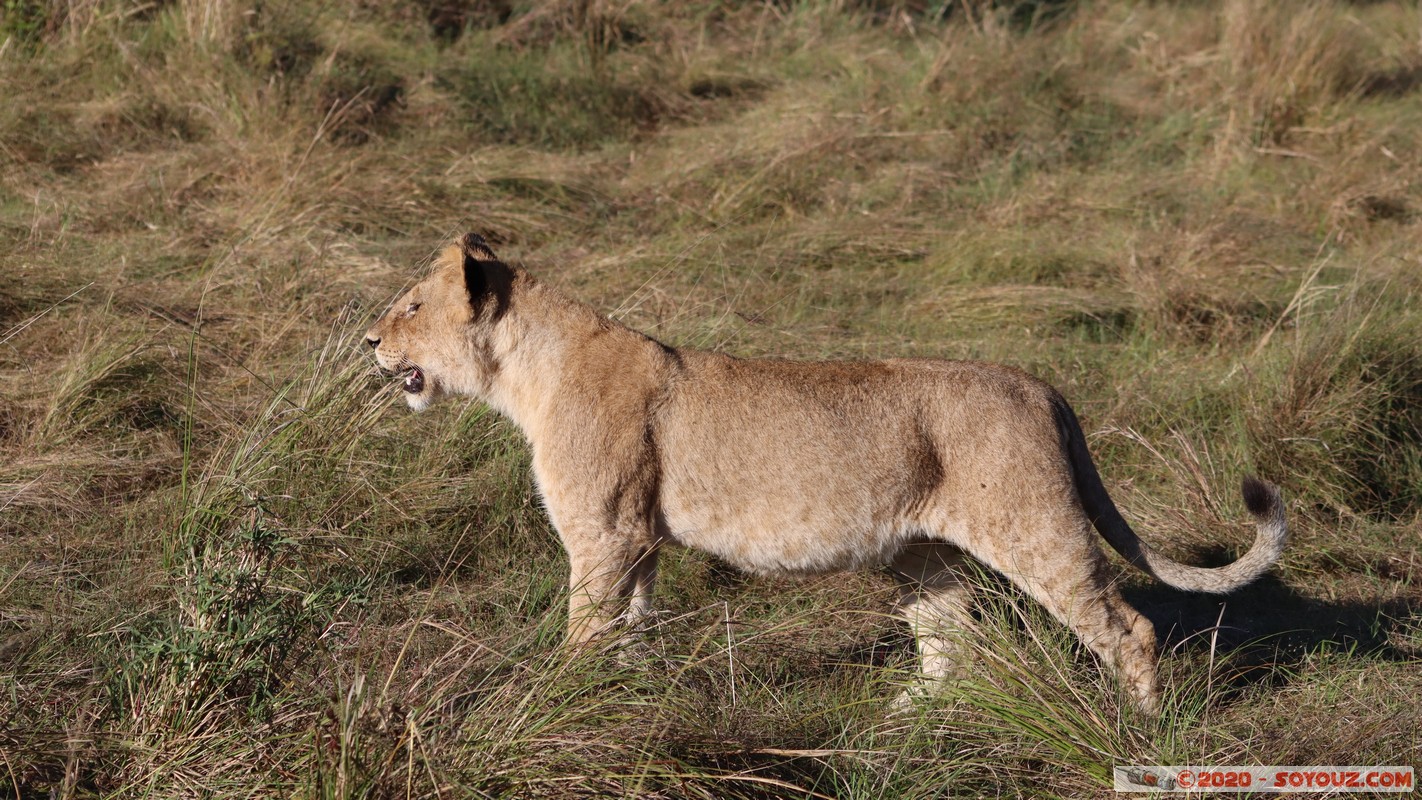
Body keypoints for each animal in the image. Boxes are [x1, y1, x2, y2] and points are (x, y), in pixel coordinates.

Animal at [365, 233, 1289, 714]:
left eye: (410, 305)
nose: (369, 341)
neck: (523, 374)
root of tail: (1042, 385)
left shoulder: (604, 534)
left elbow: (584, 630)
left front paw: (556, 699)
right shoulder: (637, 539)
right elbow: (632, 628)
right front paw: (625, 698)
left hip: (1037, 528)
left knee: (1127, 628)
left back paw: (1140, 732)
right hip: (923, 555)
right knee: (955, 641)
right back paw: (911, 717)